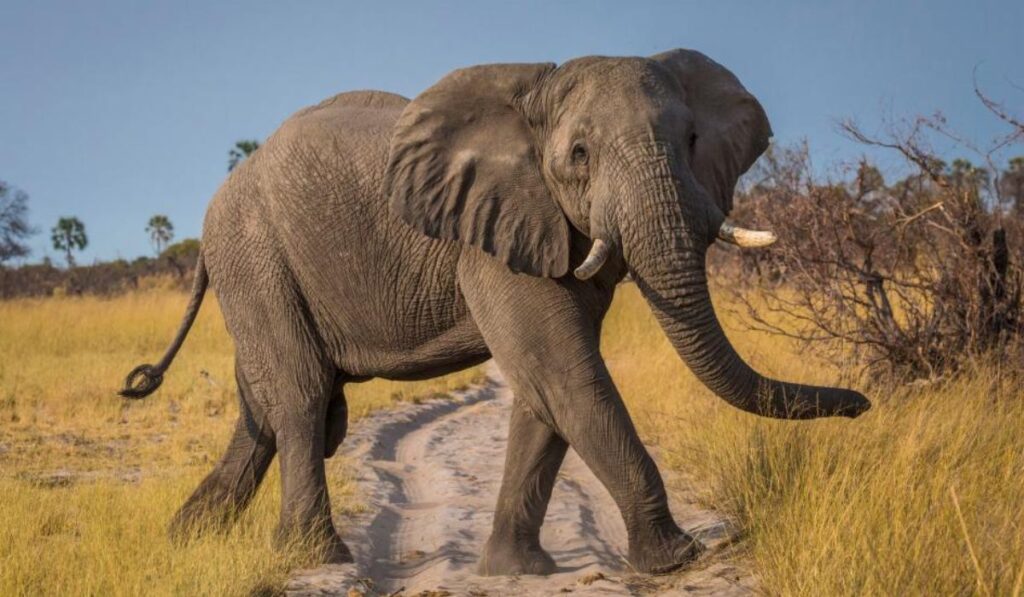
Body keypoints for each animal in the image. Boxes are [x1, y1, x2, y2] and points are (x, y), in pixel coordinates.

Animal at [121, 48, 870, 576]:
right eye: (579, 155)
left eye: (691, 142)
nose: (863, 404)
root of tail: (217, 203)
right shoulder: (493, 234)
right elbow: (566, 372)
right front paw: (676, 559)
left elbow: (544, 390)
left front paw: (516, 569)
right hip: (256, 251)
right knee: (302, 396)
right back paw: (315, 556)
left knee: (265, 405)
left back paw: (184, 540)